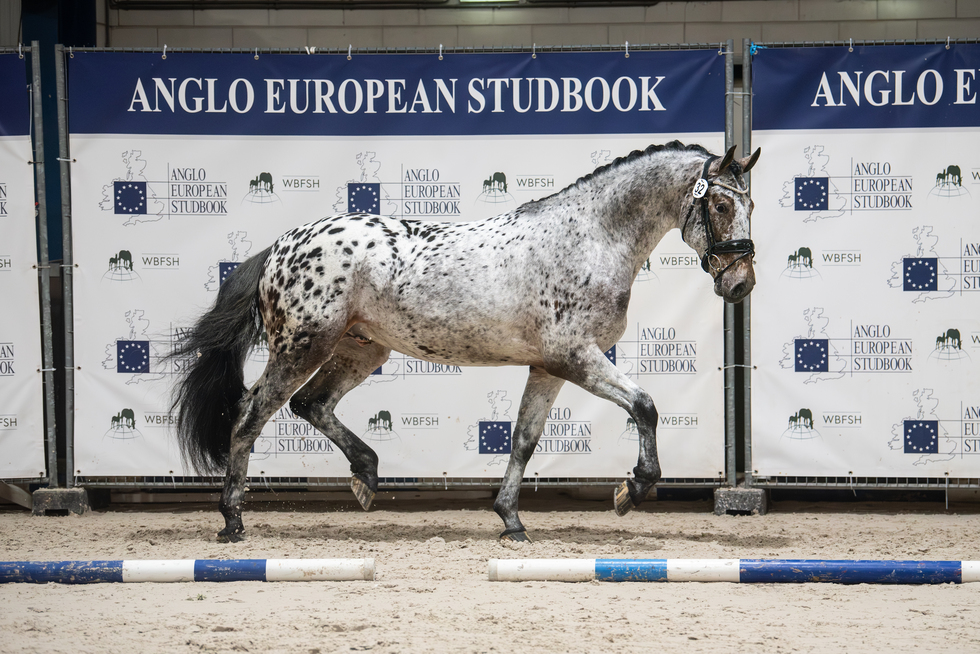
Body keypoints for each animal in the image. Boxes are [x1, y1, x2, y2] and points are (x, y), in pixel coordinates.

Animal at [170, 141, 760, 543]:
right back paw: (232, 519)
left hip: (362, 348)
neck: (591, 239)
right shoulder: (575, 357)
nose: (741, 283)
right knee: (251, 415)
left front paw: (511, 519)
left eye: (750, 206)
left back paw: (366, 476)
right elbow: (646, 406)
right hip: (302, 346)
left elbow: (524, 440)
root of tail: (279, 246)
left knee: (310, 404)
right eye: (722, 207)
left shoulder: (548, 367)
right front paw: (629, 491)